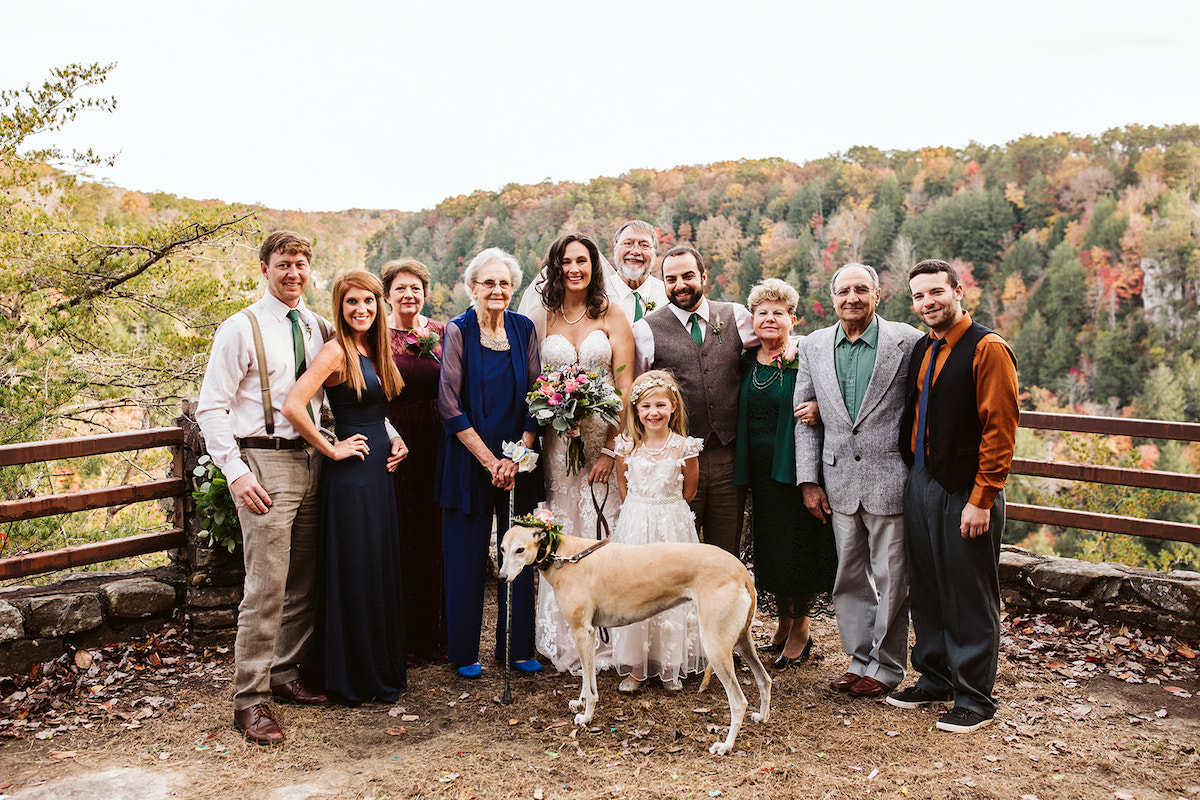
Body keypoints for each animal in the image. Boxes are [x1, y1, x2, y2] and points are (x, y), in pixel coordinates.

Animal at [499, 525, 772, 758]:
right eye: (502, 548)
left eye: (520, 549)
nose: (502, 577)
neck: (565, 556)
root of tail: (742, 570)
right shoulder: (589, 633)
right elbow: (586, 677)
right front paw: (579, 702)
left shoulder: (581, 632)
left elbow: (591, 686)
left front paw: (586, 717)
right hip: (742, 640)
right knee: (765, 679)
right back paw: (762, 717)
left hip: (716, 645)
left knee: (739, 701)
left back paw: (726, 745)